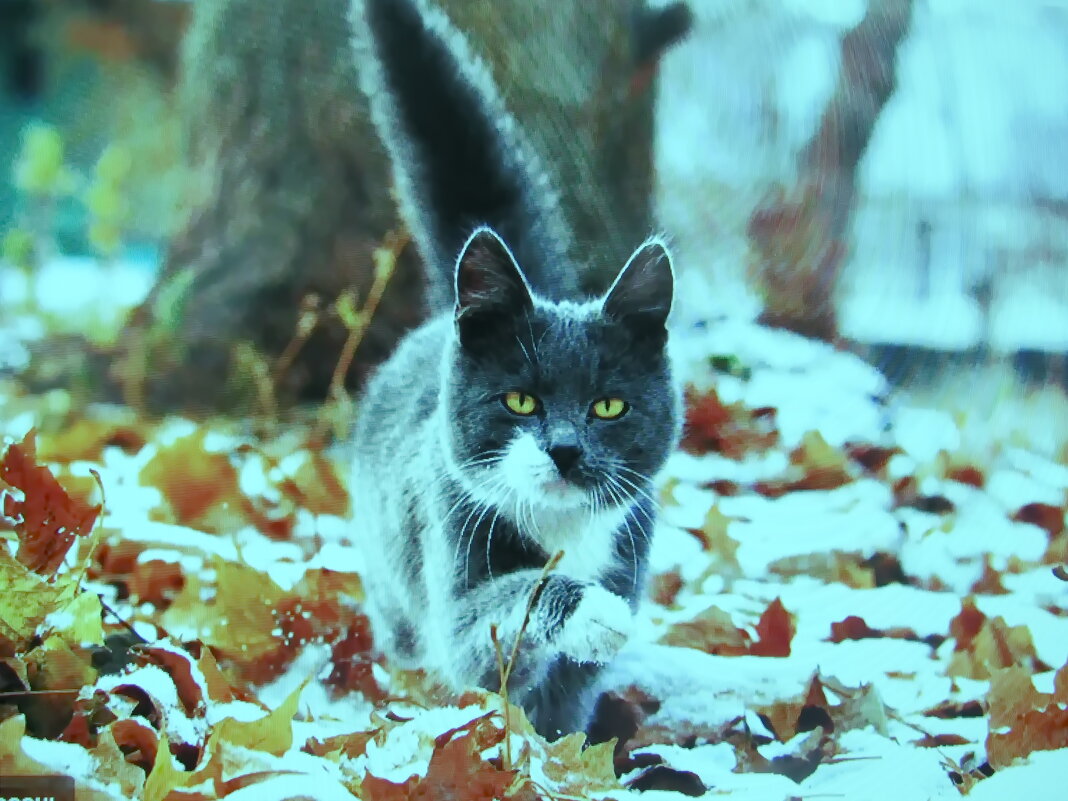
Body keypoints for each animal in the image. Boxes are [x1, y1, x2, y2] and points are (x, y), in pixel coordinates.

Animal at [350, 0, 683, 739]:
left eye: (608, 406)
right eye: (520, 401)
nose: (565, 450)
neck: (563, 531)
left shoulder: (629, 548)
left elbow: (565, 700)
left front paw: (564, 747)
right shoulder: (455, 552)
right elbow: (499, 613)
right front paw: (588, 611)